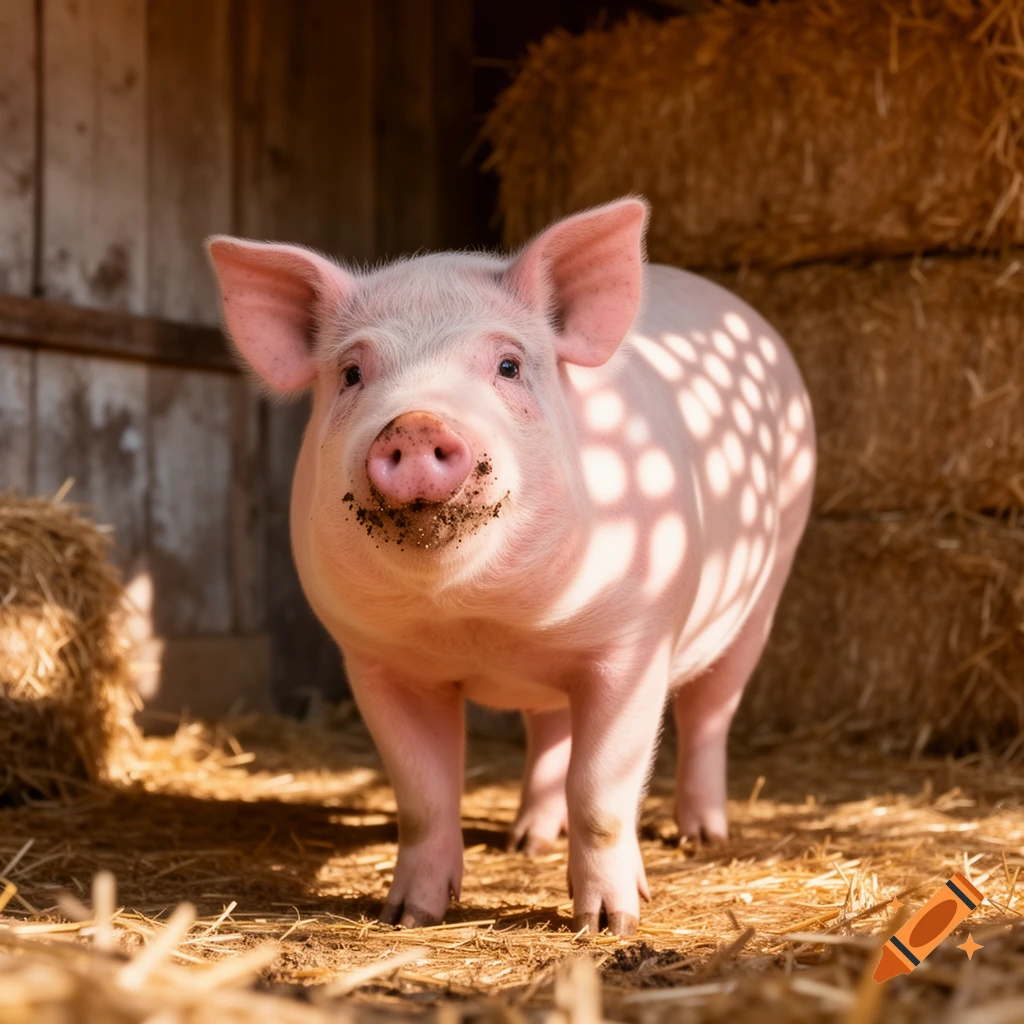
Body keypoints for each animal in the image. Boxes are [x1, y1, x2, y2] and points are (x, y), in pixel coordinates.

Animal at [206, 197, 816, 936]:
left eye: (507, 365)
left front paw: (608, 926)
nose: (414, 424)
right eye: (351, 373)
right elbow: (423, 796)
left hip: (765, 587)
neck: (478, 621)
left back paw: (702, 838)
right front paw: (408, 917)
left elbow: (601, 789)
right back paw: (527, 840)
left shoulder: (634, 642)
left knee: (710, 715)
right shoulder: (377, 661)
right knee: (550, 728)